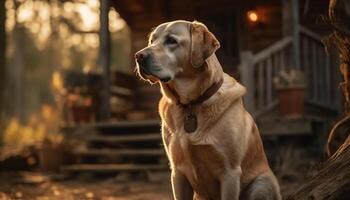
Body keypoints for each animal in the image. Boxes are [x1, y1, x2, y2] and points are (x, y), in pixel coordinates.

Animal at [134, 19, 282, 199]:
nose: (138, 56)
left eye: (171, 41)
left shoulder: (230, 173)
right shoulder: (178, 173)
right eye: (151, 40)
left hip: (261, 184)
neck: (191, 104)